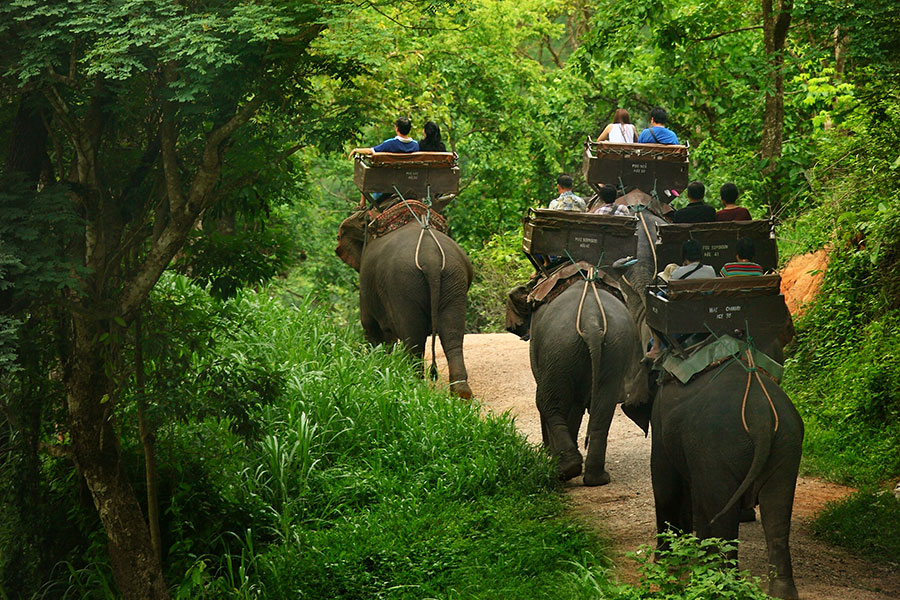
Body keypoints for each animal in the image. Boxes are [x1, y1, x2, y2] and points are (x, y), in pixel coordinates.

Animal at [338, 213, 473, 399]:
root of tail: (431, 258)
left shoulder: (366, 287)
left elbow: (371, 327)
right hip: (454, 279)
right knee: (452, 335)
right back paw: (461, 395)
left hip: (403, 285)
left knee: (413, 339)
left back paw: (413, 389)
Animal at [512, 277, 648, 485]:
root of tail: (591, 322)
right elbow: (577, 406)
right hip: (615, 348)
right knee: (603, 405)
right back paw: (596, 478)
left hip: (559, 347)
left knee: (546, 402)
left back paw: (566, 469)